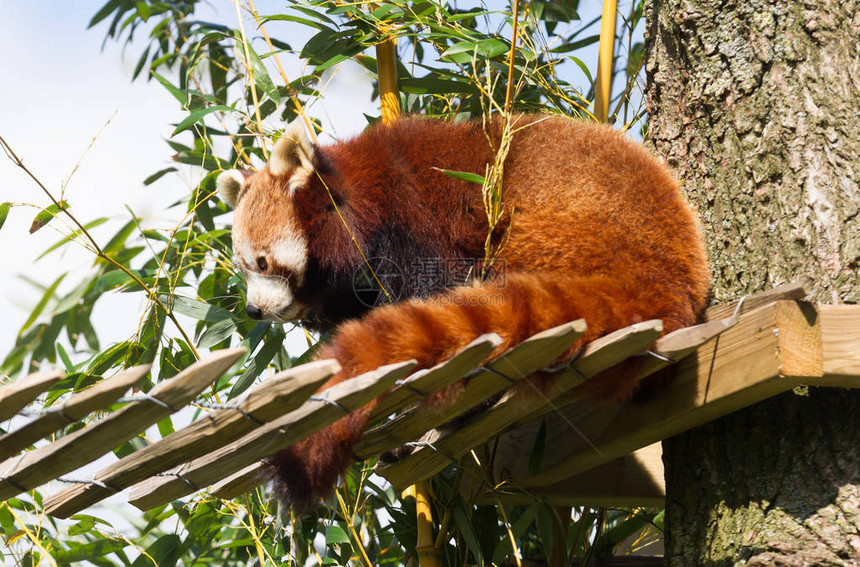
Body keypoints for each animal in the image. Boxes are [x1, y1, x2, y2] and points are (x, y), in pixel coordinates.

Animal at [217, 115, 712, 510]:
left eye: (263, 262)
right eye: (244, 268)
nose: (254, 309)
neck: (359, 197)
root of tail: (667, 276)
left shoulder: (411, 218)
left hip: (561, 226)